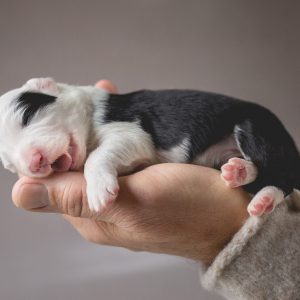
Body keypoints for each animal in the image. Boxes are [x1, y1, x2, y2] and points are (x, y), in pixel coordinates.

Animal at [0, 78, 298, 216]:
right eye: (10, 164)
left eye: (27, 115)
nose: (35, 162)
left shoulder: (131, 131)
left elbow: (97, 156)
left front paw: (98, 191)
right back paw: (237, 172)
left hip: (255, 127)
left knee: (280, 177)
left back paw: (263, 199)